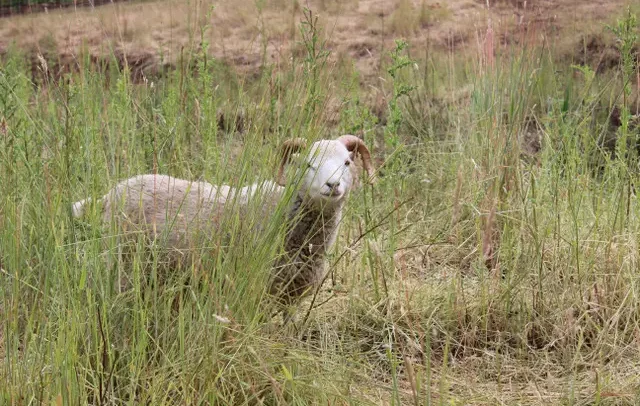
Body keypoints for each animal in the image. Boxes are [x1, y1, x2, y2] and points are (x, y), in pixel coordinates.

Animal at [72, 135, 375, 307]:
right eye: (307, 165)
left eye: (347, 162)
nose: (333, 185)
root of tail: (110, 194)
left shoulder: (292, 297)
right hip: (122, 264)